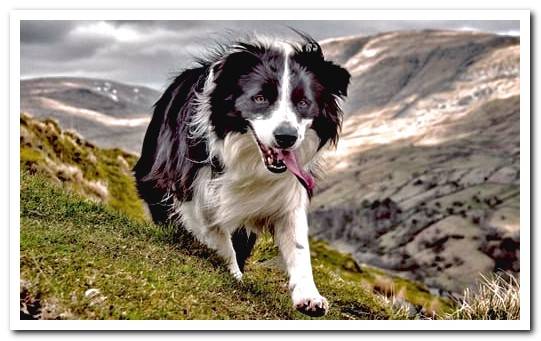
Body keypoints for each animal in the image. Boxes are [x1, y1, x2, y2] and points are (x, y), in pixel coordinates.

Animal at [133, 32, 348, 316]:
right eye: (260, 98)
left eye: (303, 103)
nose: (287, 137)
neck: (249, 160)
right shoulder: (193, 190)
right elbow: (217, 235)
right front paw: (234, 274)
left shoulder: (286, 194)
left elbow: (298, 244)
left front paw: (309, 296)